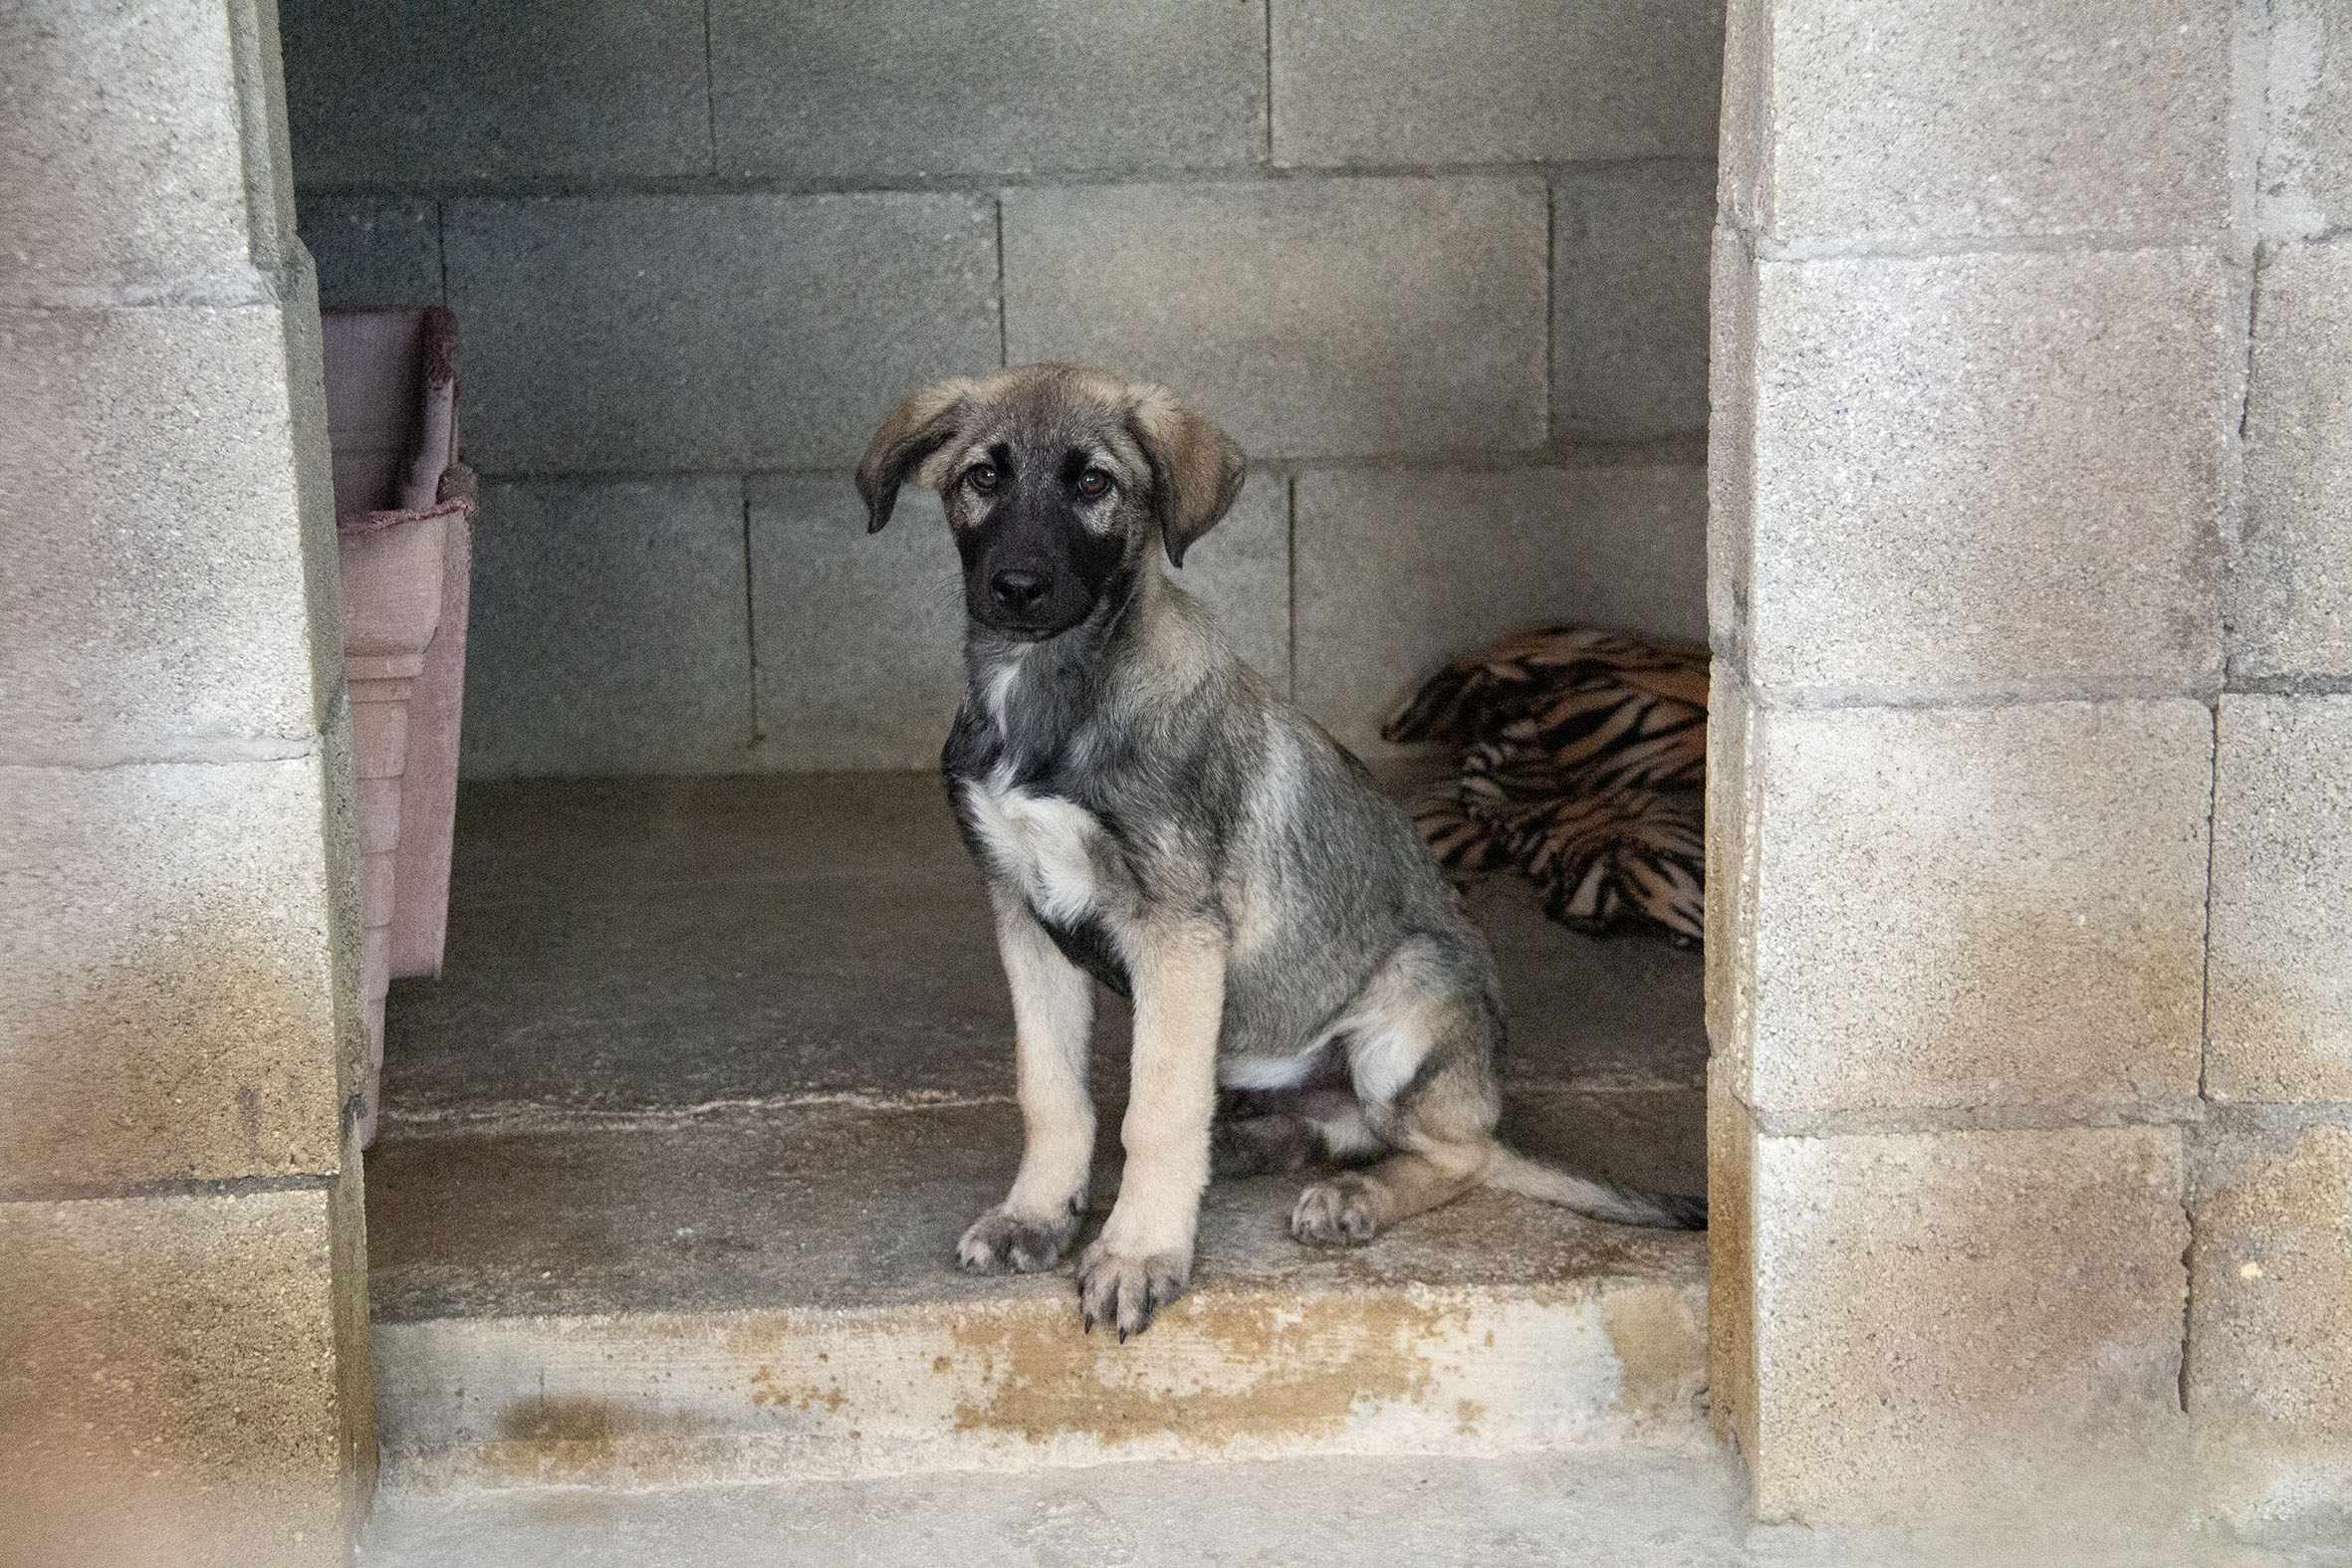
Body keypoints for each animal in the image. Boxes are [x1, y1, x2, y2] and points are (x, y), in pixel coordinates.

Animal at [856, 364, 1705, 1339]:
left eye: (1094, 483)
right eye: (983, 477)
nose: (1018, 588)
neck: (1051, 691)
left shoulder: (1177, 931)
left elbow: (1156, 1110)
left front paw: (1137, 1252)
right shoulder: (1022, 913)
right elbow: (1053, 1090)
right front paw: (1035, 1216)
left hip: (1407, 1018)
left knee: (1461, 1154)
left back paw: (1355, 1197)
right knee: (1325, 1127)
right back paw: (1249, 1142)